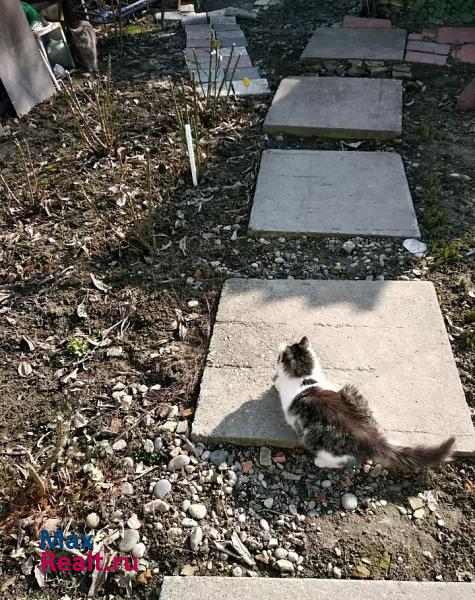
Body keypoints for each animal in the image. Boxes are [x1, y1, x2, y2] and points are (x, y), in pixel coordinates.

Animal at [276, 338, 458, 468]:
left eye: (278, 358)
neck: (305, 377)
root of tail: (370, 437)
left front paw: (276, 383)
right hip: (352, 392)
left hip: (315, 441)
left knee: (346, 462)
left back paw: (320, 462)